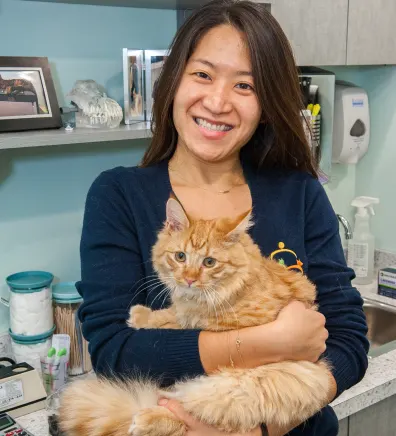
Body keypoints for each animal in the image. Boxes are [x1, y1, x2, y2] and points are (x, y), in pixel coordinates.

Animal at [59, 198, 332, 436]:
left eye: (209, 262)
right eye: (180, 256)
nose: (189, 279)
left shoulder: (228, 322)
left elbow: (183, 323)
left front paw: (146, 316)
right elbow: (175, 314)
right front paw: (144, 316)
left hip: (237, 387)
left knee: (190, 412)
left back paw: (148, 420)